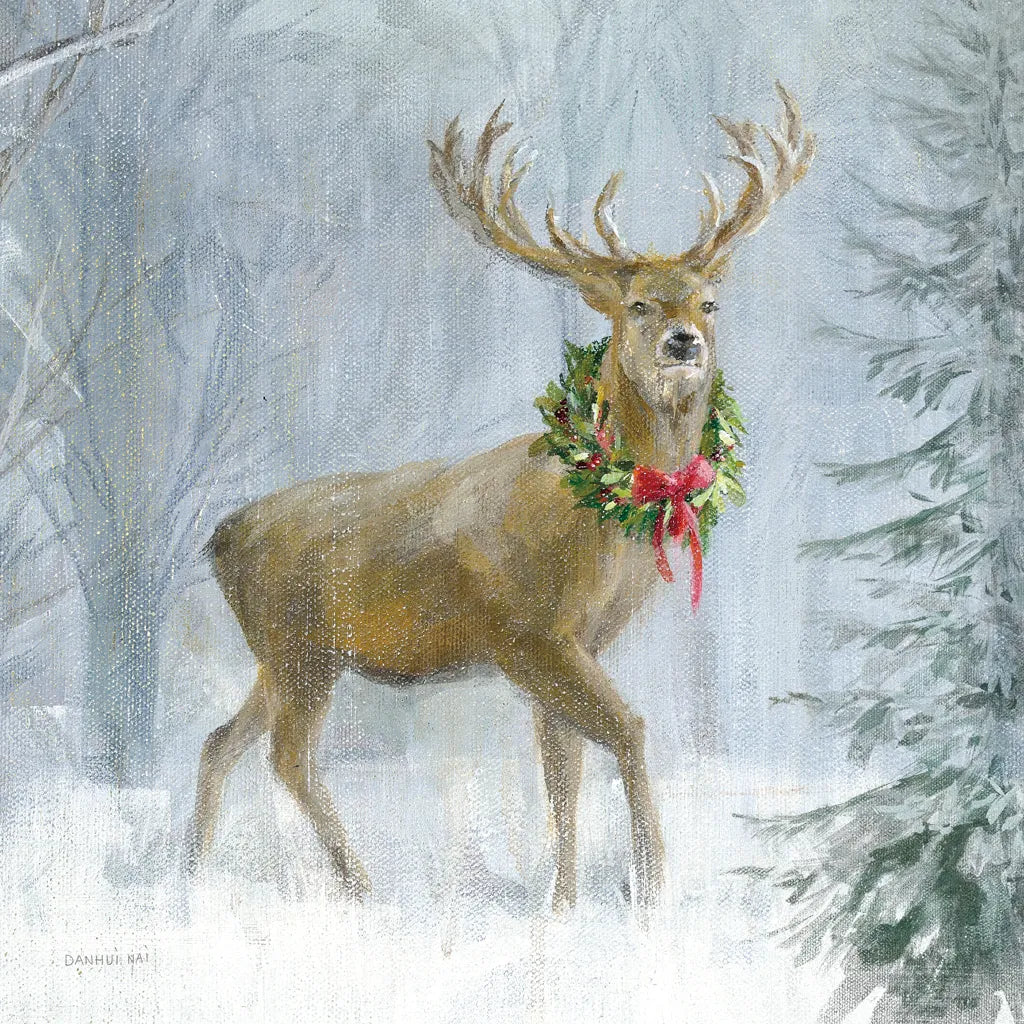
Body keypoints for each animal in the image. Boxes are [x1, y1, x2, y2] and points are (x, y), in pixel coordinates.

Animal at [185, 82, 815, 910]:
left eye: (709, 302)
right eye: (639, 305)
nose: (685, 342)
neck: (601, 523)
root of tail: (219, 538)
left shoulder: (576, 641)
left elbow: (562, 766)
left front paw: (564, 904)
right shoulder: (529, 630)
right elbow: (626, 731)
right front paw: (649, 891)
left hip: (287, 654)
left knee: (219, 740)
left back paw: (190, 874)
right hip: (296, 646)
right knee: (288, 756)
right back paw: (360, 886)